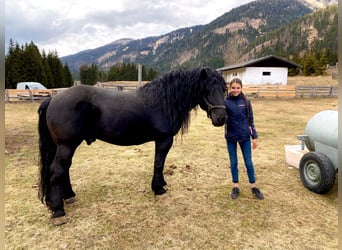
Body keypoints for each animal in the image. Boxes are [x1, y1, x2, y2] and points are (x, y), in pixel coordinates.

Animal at [38, 67, 227, 226]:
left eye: (224, 89)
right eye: (206, 90)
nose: (221, 118)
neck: (163, 101)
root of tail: (53, 98)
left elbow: (160, 164)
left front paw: (162, 183)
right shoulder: (164, 139)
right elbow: (158, 163)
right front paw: (158, 188)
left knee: (64, 169)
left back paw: (69, 196)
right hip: (66, 145)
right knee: (57, 170)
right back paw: (58, 211)